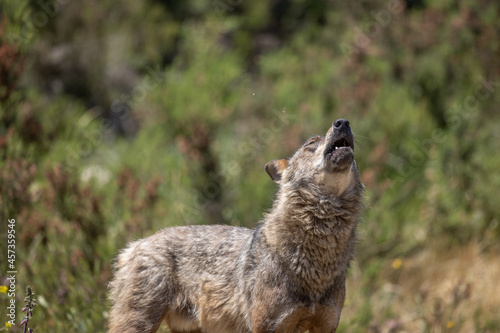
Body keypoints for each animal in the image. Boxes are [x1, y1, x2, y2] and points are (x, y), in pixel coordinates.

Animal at [107, 119, 364, 332]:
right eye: (311, 143)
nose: (343, 122)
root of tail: (135, 245)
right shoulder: (266, 327)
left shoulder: (326, 325)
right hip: (139, 324)